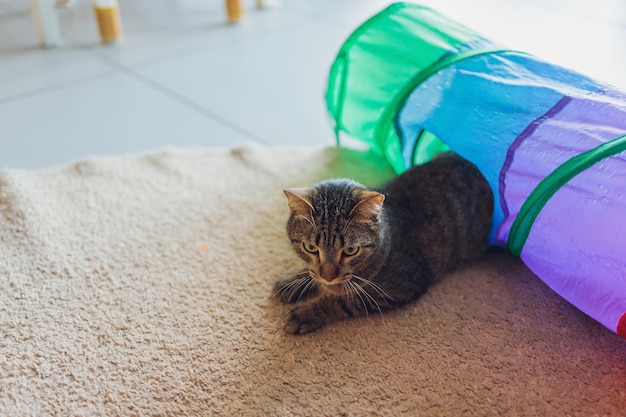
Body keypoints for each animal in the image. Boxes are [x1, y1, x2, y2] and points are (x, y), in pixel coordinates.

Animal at [274, 151, 492, 334]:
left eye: (350, 250)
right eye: (311, 247)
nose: (329, 277)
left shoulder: (394, 290)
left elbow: (342, 301)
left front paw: (306, 312)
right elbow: (312, 273)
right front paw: (293, 282)